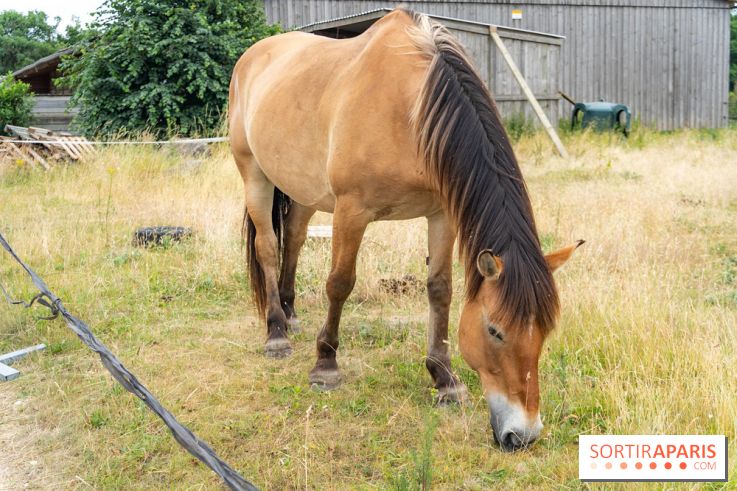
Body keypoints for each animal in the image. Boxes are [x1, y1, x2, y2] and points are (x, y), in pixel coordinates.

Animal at [228, 8, 582, 452]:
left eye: (545, 332)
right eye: (495, 331)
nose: (523, 434)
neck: (409, 109)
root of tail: (254, 54)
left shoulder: (442, 214)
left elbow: (440, 290)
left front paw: (444, 379)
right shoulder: (351, 210)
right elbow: (339, 283)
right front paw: (325, 364)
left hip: (303, 188)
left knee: (292, 239)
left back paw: (291, 316)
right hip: (254, 175)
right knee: (268, 248)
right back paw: (276, 332)